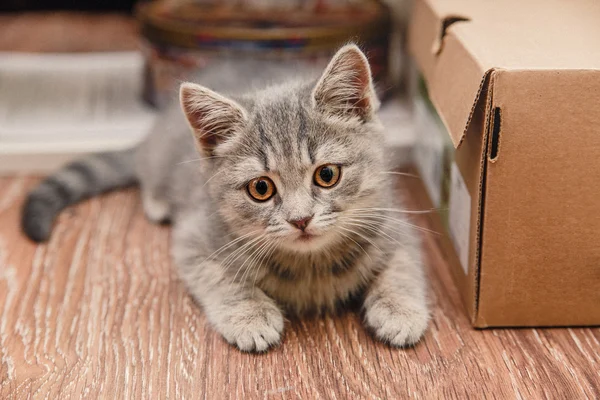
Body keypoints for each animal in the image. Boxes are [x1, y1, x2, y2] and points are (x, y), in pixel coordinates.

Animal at [21, 45, 428, 352]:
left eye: (327, 175)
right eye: (261, 189)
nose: (300, 219)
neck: (310, 266)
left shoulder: (394, 220)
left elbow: (404, 265)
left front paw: (400, 309)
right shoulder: (195, 236)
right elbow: (219, 277)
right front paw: (249, 315)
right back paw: (157, 202)